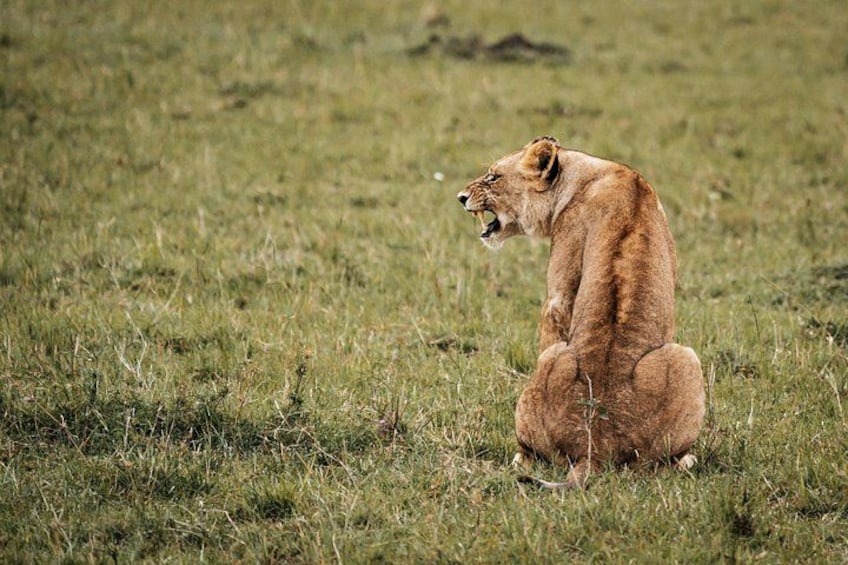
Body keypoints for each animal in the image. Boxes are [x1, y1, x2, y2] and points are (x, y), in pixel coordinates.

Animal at [457, 136, 705, 488]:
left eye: (493, 177)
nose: (461, 197)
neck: (585, 172)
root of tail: (595, 447)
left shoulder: (560, 286)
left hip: (683, 358)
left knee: (530, 454)